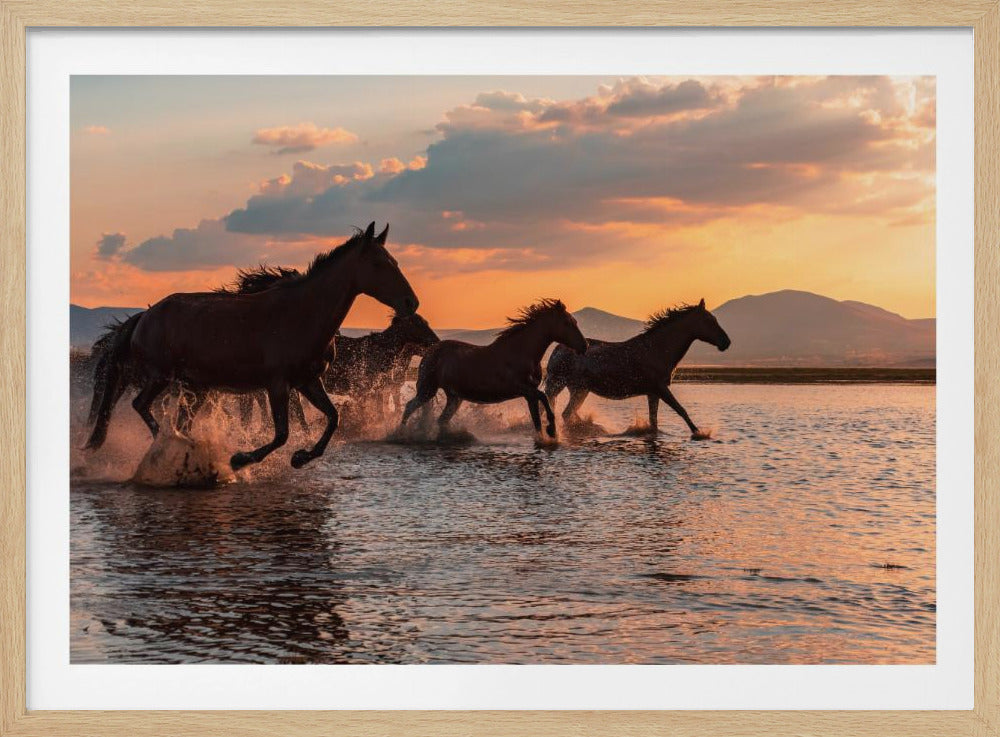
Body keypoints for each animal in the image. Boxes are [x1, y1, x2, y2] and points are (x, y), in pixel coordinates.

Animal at [85, 221, 418, 470]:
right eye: (378, 264)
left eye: (396, 262)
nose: (411, 302)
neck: (302, 314)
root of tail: (144, 316)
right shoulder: (277, 384)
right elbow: (282, 433)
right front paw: (241, 458)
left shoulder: (309, 381)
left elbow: (333, 418)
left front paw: (301, 457)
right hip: (160, 376)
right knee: (140, 405)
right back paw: (173, 445)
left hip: (195, 387)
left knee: (177, 419)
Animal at [400, 299, 587, 438]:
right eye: (567, 323)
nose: (585, 346)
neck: (521, 352)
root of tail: (429, 351)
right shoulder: (522, 388)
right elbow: (544, 398)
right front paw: (552, 430)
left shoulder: (529, 394)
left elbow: (536, 419)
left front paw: (546, 436)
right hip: (427, 389)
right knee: (409, 407)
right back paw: (400, 434)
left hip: (454, 397)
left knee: (441, 420)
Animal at [543, 299, 731, 439]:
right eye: (709, 321)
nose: (726, 342)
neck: (658, 349)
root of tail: (557, 349)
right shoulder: (661, 389)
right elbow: (681, 410)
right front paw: (700, 433)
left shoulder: (653, 393)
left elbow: (654, 422)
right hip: (564, 386)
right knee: (565, 414)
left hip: (579, 389)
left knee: (568, 414)